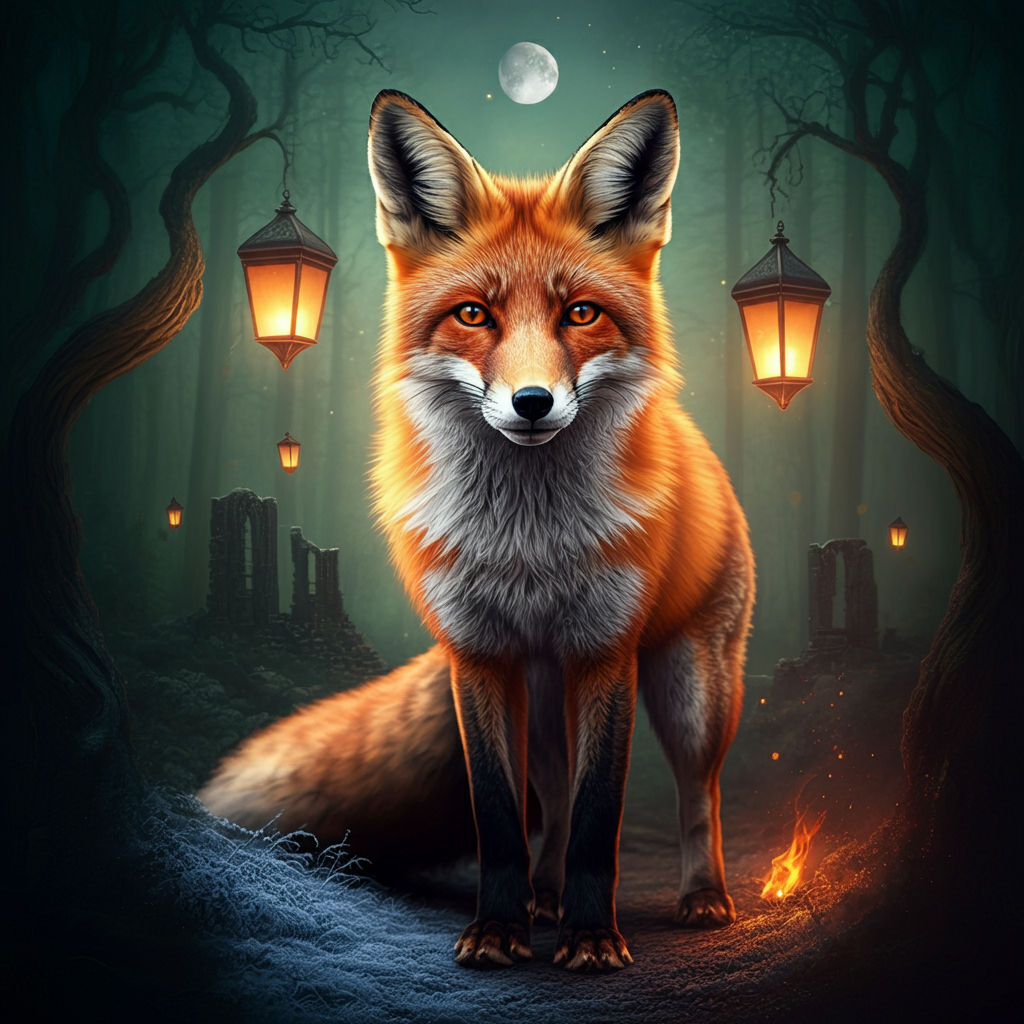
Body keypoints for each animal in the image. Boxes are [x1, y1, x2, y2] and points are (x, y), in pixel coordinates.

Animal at [199, 89, 754, 971]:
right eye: (473, 315)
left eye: (581, 314)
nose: (532, 403)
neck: (527, 545)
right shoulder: (479, 655)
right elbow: (500, 816)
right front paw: (499, 930)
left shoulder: (607, 653)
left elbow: (600, 819)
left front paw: (592, 940)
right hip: (544, 697)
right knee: (551, 799)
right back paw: (541, 898)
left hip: (693, 686)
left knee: (699, 792)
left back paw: (701, 898)